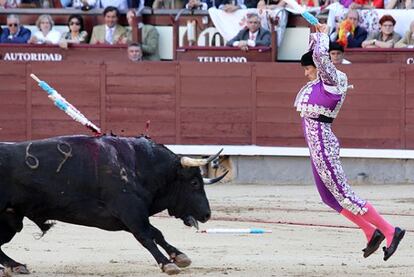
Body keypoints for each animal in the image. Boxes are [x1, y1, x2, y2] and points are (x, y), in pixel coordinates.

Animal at [0, 134, 226, 274]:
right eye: (194, 183)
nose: (207, 214)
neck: (140, 165)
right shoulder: (130, 212)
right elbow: (145, 236)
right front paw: (166, 264)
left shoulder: (125, 218)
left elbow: (156, 233)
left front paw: (179, 256)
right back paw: (15, 266)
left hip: (11, 219)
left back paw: (15, 266)